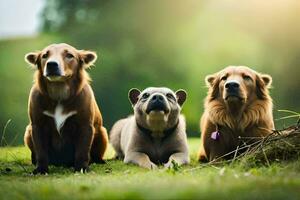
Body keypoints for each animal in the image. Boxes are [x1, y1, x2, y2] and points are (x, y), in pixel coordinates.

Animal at [23, 43, 108, 173]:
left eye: (69, 55)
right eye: (45, 55)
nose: (52, 64)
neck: (59, 93)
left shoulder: (84, 124)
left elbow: (82, 150)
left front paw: (82, 168)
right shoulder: (37, 125)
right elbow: (41, 151)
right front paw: (41, 169)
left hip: (102, 132)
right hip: (27, 132)